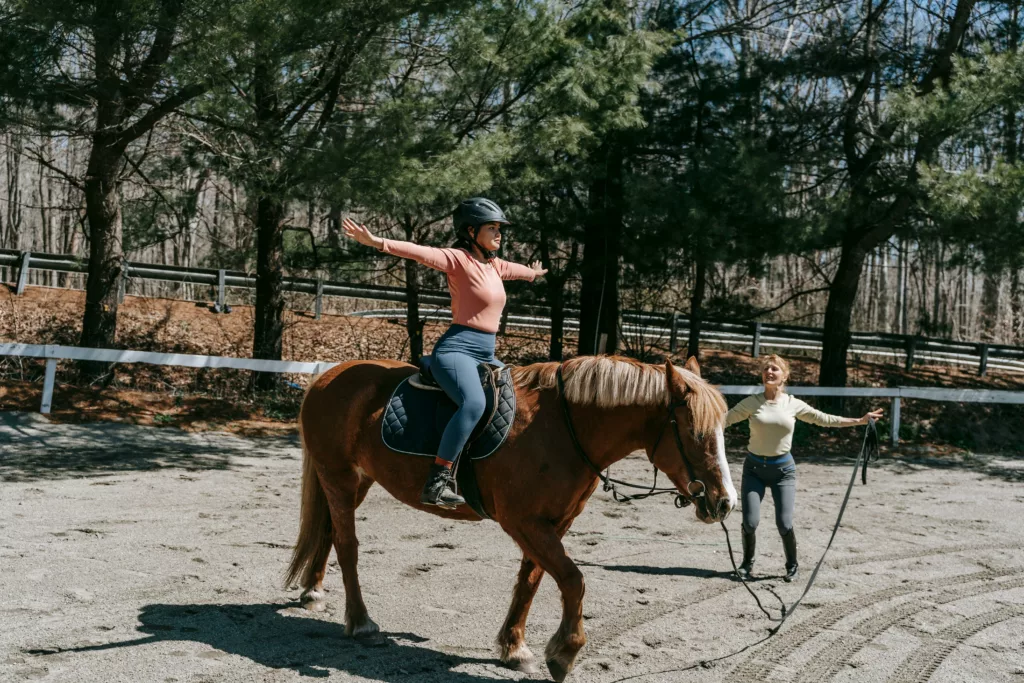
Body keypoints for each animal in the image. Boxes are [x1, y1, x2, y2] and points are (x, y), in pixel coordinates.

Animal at [286, 356, 737, 679]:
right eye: (695, 432)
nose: (725, 502)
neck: (564, 429)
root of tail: (327, 377)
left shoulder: (552, 523)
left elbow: (531, 580)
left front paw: (514, 647)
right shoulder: (523, 522)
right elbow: (572, 579)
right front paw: (564, 652)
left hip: (355, 482)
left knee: (327, 532)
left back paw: (313, 591)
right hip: (339, 476)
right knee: (347, 545)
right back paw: (361, 623)